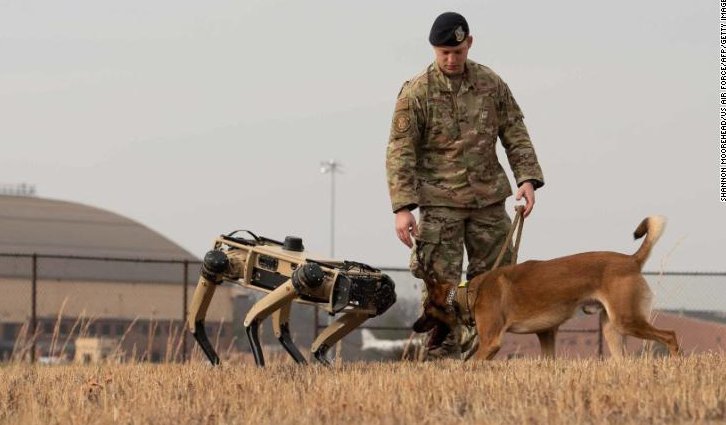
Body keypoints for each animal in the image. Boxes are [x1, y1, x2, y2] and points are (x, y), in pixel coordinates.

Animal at [416, 215, 684, 358]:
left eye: (426, 309)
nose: (414, 325)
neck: (469, 293)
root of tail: (632, 260)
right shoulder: (546, 333)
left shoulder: (491, 342)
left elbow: (469, 366)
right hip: (612, 328)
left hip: (627, 320)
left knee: (670, 335)